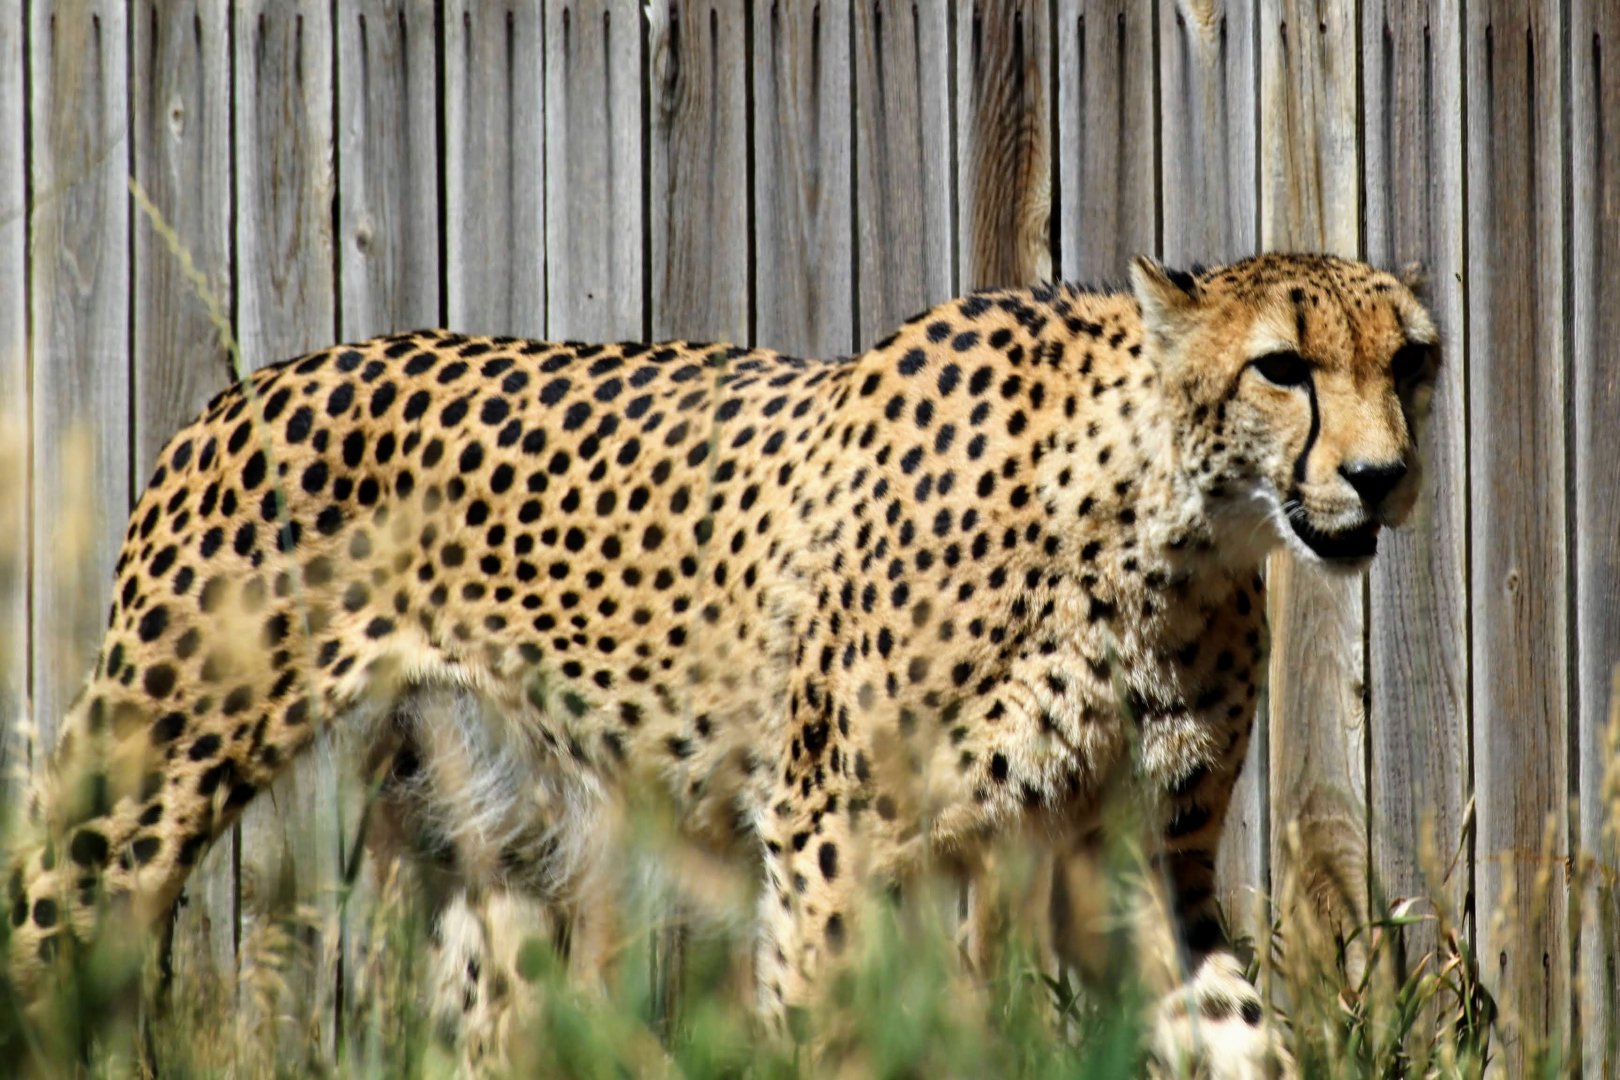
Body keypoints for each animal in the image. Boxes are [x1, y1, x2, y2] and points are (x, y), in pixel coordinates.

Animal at [6, 252, 1438, 1075]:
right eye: (1282, 367)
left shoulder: (1134, 855)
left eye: (1411, 360)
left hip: (490, 848)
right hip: (152, 765)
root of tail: (254, 381)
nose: (1385, 476)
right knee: (48, 919)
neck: (1162, 530)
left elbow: (1235, 1030)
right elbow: (833, 1028)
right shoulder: (833, 836)